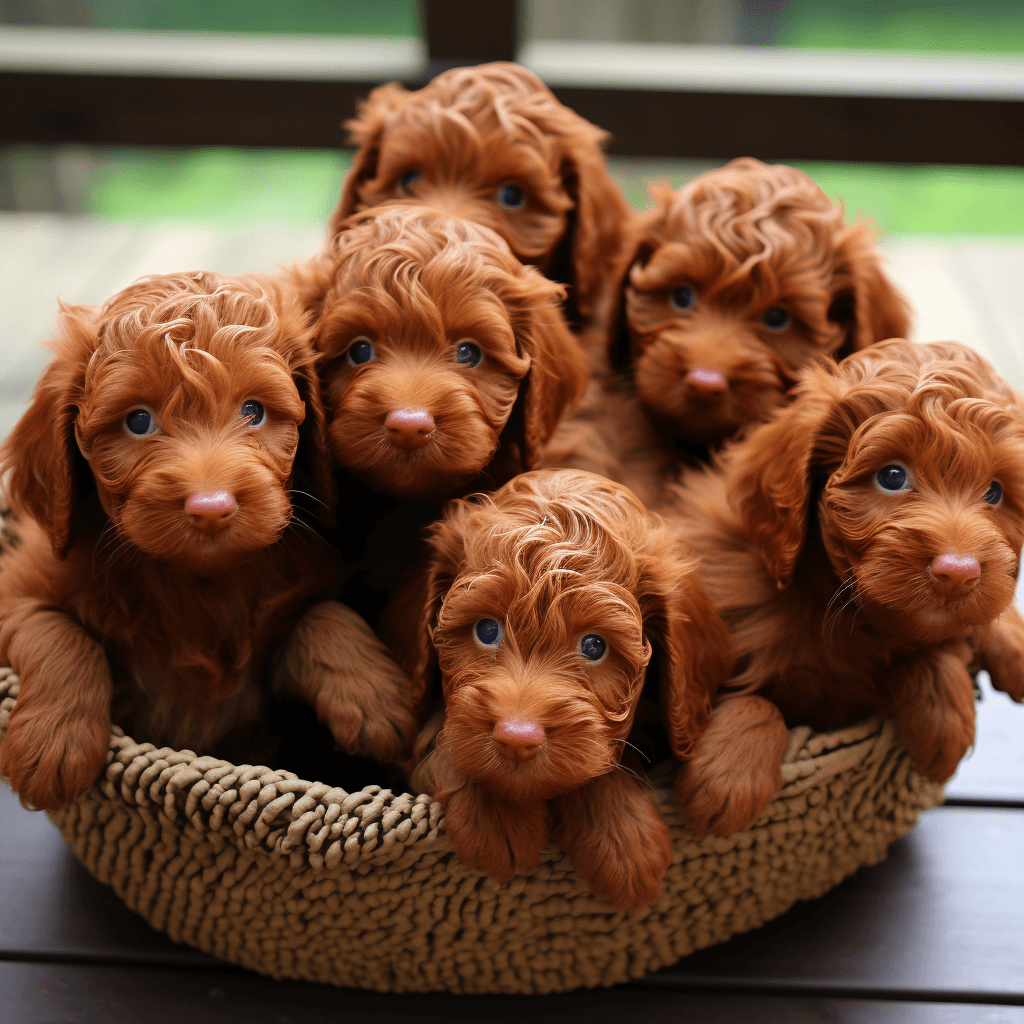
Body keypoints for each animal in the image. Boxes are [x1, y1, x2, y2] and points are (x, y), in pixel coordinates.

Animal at [1, 270, 415, 806]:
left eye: (253, 412)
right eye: (138, 421)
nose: (211, 506)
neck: (199, 586)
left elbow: (321, 614)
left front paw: (375, 696)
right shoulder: (22, 576)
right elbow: (53, 628)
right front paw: (53, 743)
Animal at [663, 339, 1024, 835]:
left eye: (994, 492)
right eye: (892, 476)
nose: (959, 570)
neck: (830, 603)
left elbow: (934, 647)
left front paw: (944, 719)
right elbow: (755, 701)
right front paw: (727, 776)